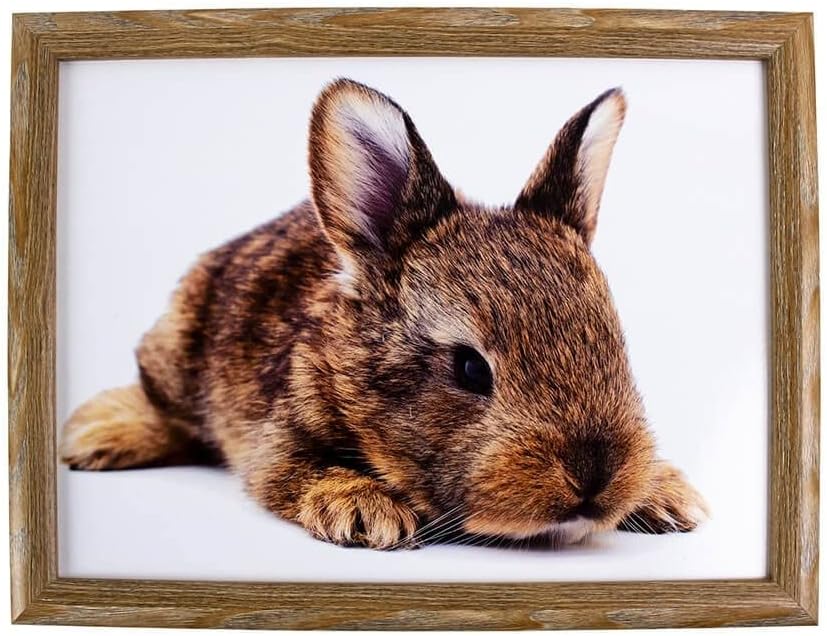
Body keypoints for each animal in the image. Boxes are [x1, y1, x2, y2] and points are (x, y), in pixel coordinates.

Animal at [61, 78, 707, 550]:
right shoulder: (274, 442)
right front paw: (367, 512)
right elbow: (291, 474)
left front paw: (669, 496)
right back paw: (94, 435)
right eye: (470, 369)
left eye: (616, 344)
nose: (594, 476)